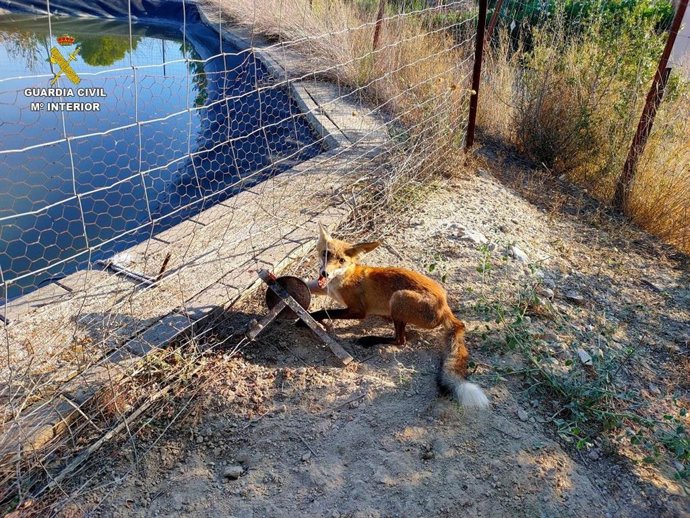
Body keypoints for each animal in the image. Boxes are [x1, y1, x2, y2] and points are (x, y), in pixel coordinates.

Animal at [304, 223, 489, 409]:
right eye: (326, 254)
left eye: (341, 260)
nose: (325, 273)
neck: (343, 279)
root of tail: (445, 307)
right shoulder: (323, 287)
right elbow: (307, 285)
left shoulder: (358, 310)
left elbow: (324, 312)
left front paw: (304, 320)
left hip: (397, 298)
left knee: (400, 340)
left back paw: (370, 340)